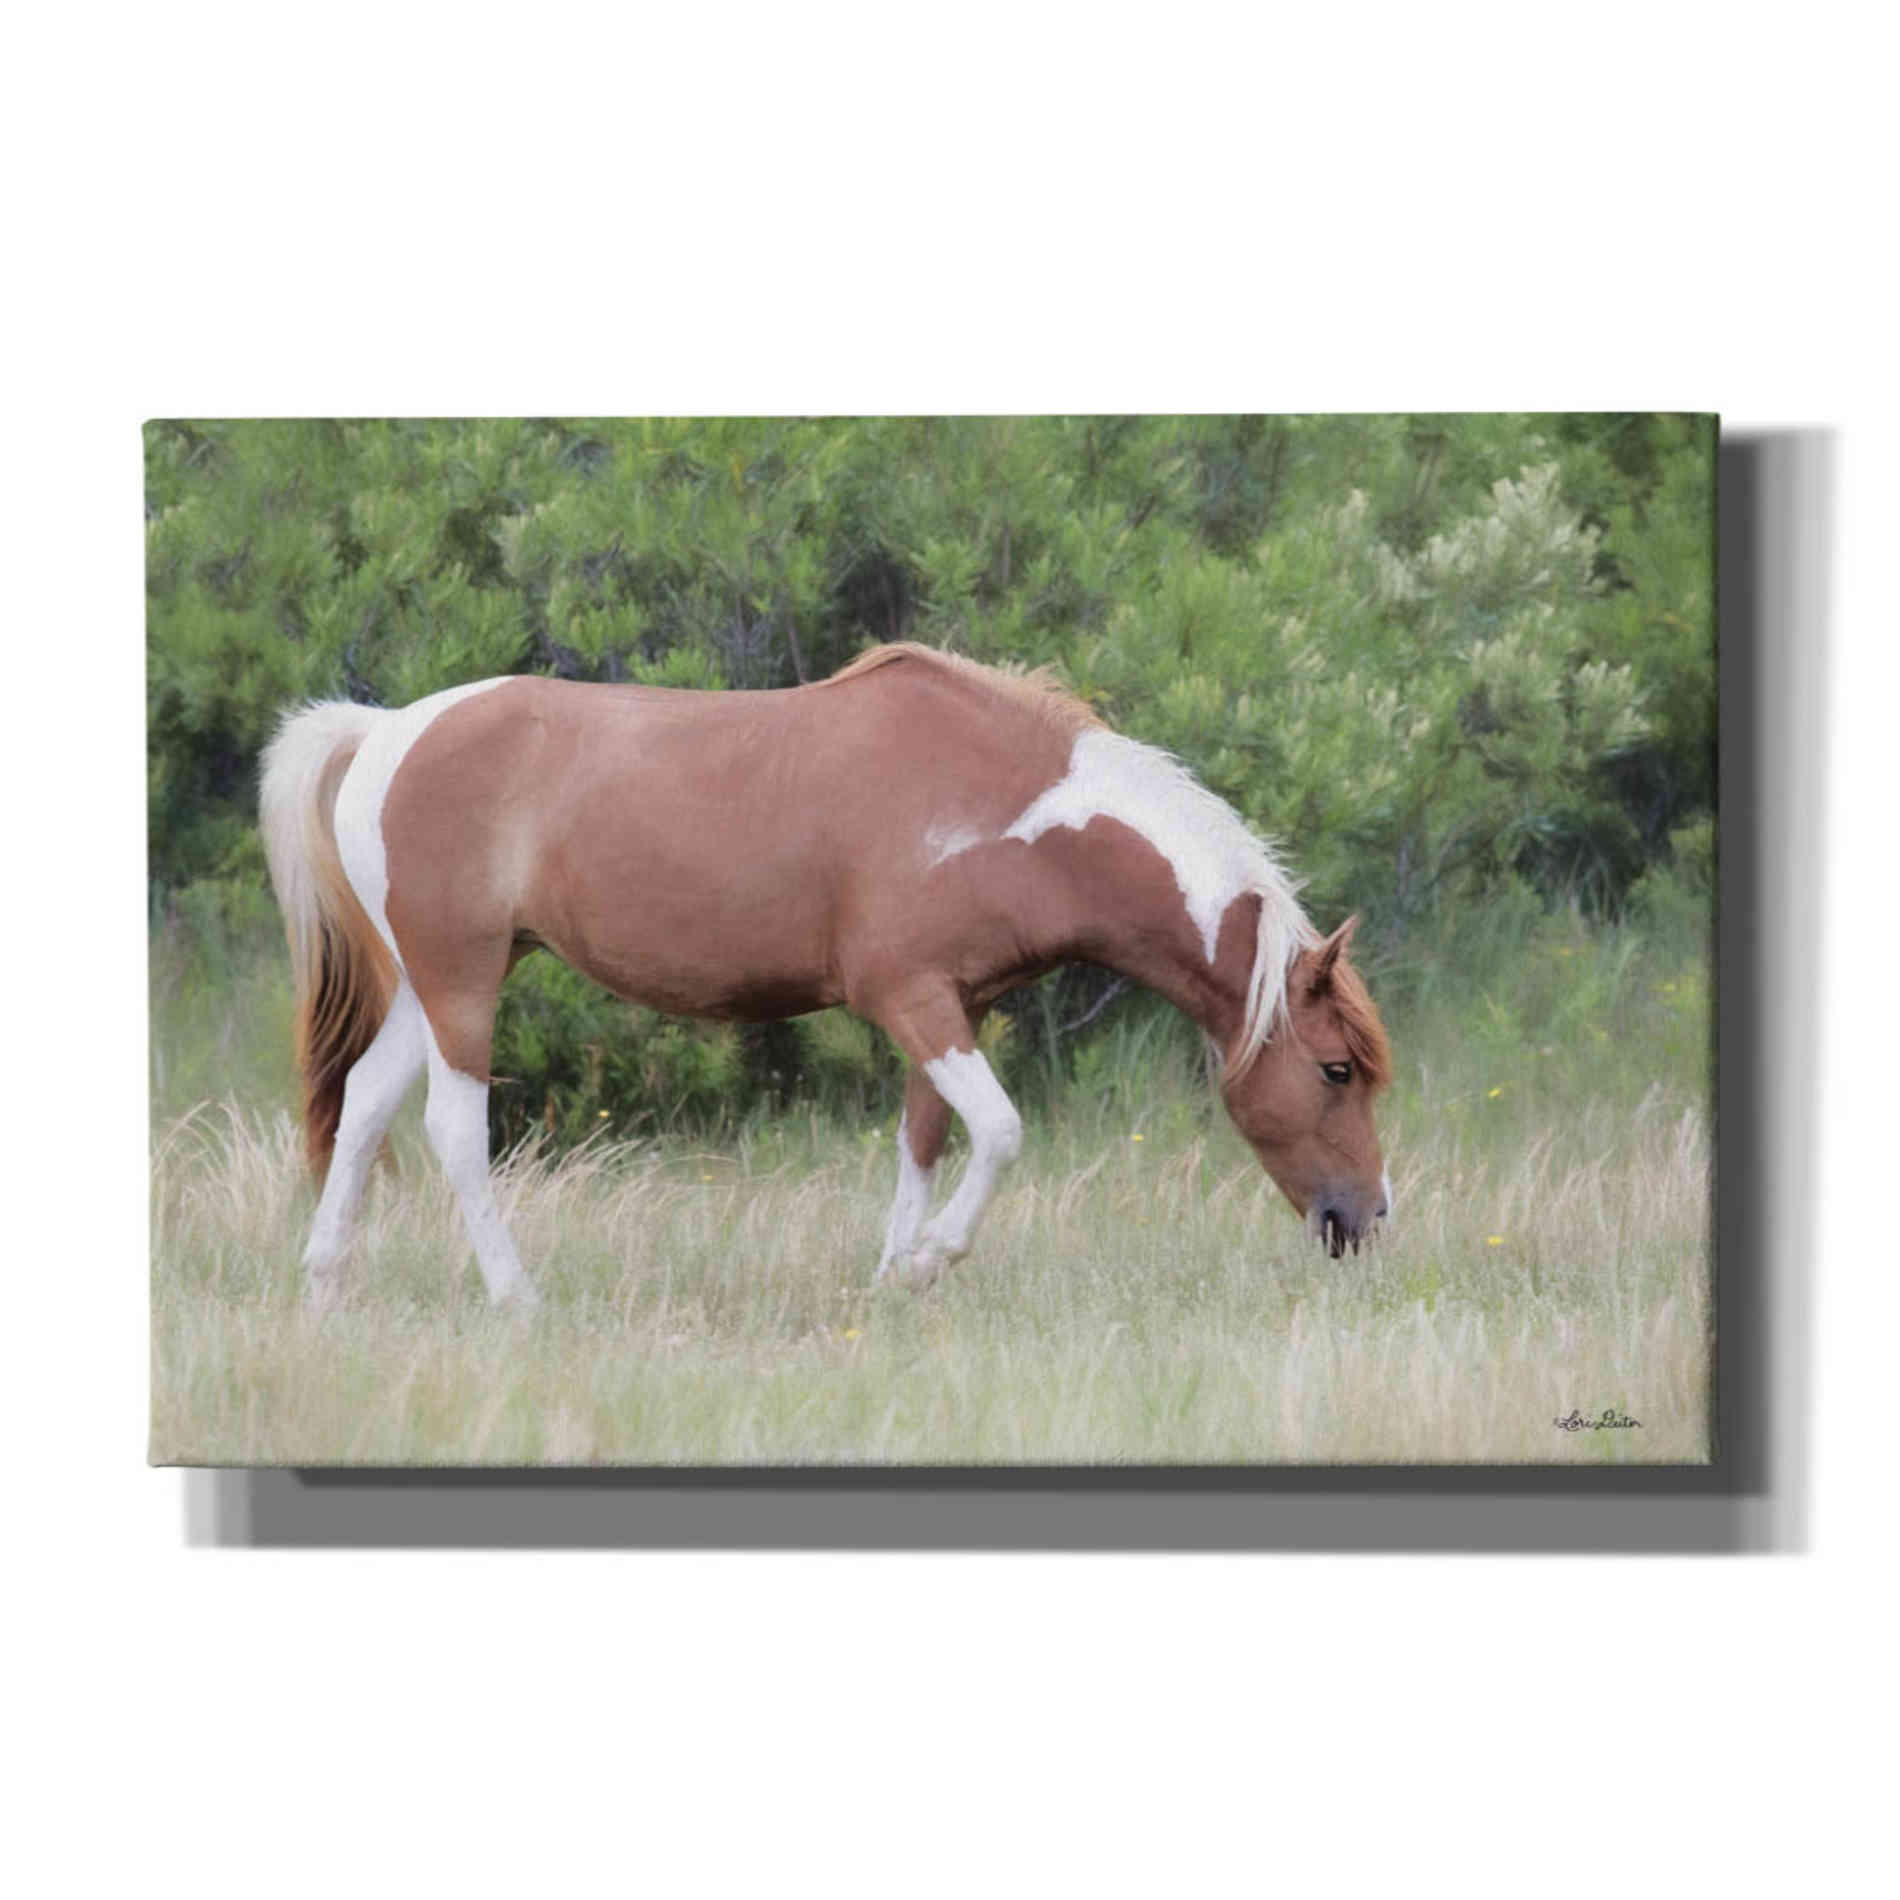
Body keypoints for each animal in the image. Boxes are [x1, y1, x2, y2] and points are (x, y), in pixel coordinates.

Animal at [260, 642, 1391, 1307]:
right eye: (1336, 1069)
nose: (1367, 1218)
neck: (1004, 809)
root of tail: (383, 731)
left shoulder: (949, 1005)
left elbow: (924, 1143)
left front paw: (894, 1278)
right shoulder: (911, 1000)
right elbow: (999, 1133)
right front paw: (930, 1259)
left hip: (432, 984)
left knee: (363, 1103)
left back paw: (324, 1284)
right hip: (461, 980)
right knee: (453, 1129)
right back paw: (515, 1298)